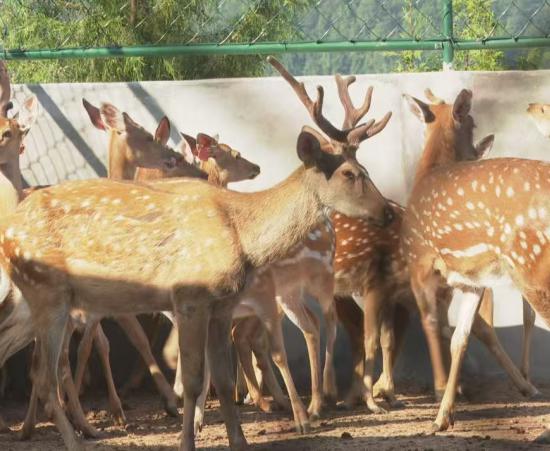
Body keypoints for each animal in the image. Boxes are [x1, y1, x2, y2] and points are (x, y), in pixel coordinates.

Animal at [400, 88, 550, 443]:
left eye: (472, 122)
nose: (475, 153)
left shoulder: (421, 262)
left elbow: (433, 323)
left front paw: (441, 396)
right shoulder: (472, 279)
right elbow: (461, 338)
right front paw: (443, 416)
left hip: (532, 263)